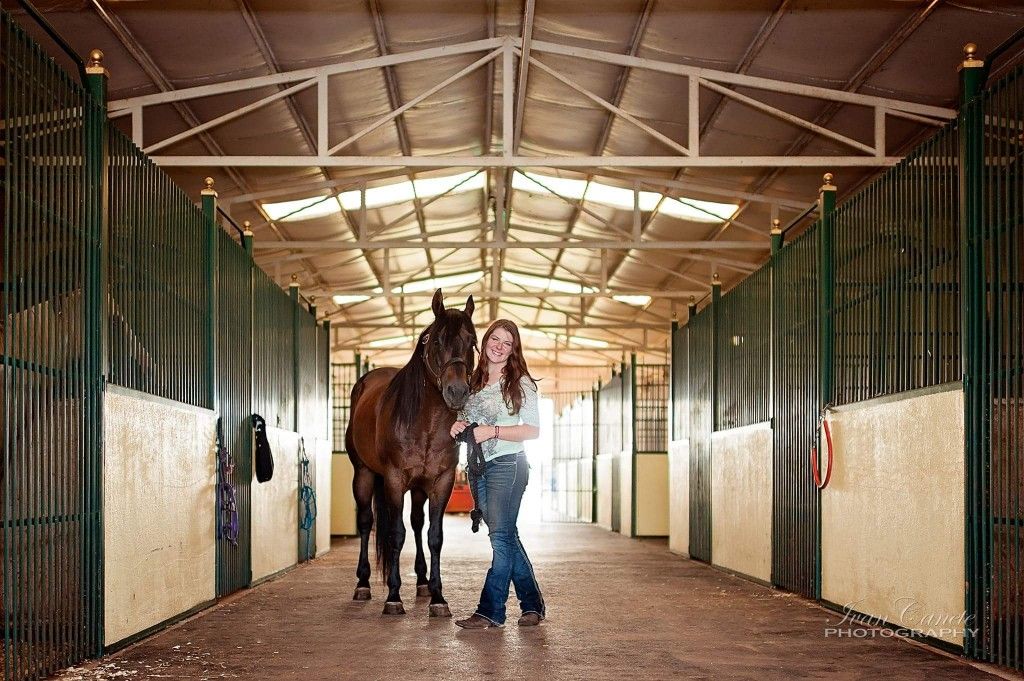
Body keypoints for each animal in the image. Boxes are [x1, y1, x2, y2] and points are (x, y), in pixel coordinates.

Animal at [345, 289, 477, 617]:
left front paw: (438, 597)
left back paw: (421, 582)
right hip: (364, 475)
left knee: (417, 523)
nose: (457, 392)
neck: (424, 422)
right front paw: (393, 596)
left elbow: (434, 536)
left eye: (472, 341)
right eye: (437, 340)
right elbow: (395, 533)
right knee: (366, 522)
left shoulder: (441, 481)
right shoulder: (394, 479)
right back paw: (363, 584)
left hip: (418, 488)